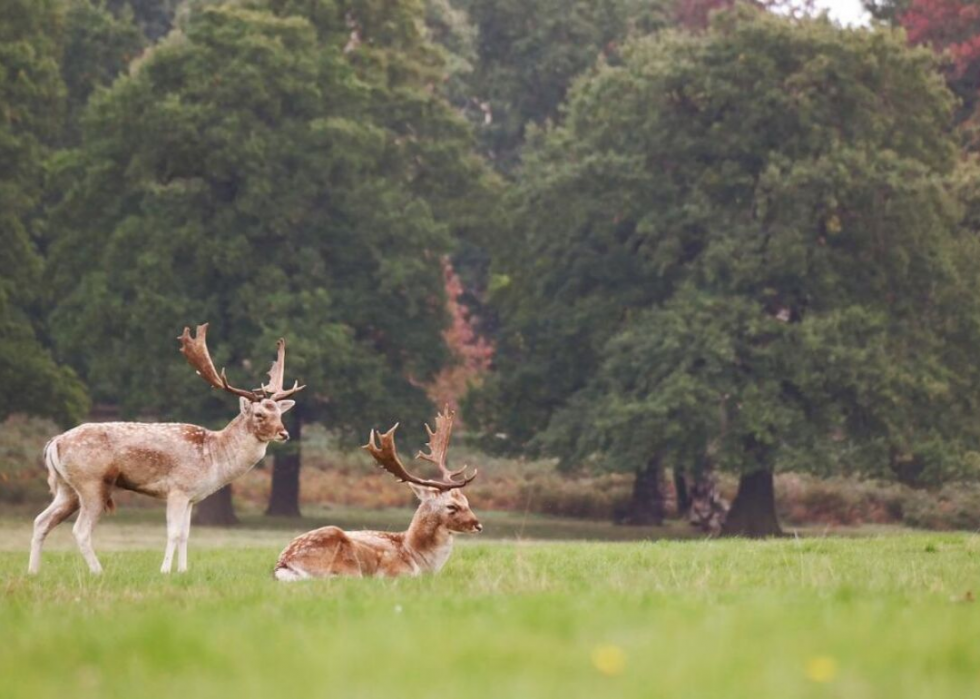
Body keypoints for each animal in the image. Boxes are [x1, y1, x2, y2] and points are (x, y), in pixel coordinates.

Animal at [27, 322, 302, 576]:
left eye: (279, 413)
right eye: (259, 414)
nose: (284, 433)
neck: (213, 456)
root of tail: (55, 443)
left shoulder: (191, 496)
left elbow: (186, 534)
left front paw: (183, 571)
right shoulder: (177, 488)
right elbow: (173, 532)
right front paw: (165, 570)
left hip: (67, 488)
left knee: (41, 520)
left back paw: (33, 571)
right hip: (91, 482)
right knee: (80, 530)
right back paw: (98, 571)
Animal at [274, 408, 480, 584]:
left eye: (466, 501)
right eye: (451, 506)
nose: (478, 525)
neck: (416, 556)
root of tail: (283, 564)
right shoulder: (396, 572)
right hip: (346, 562)